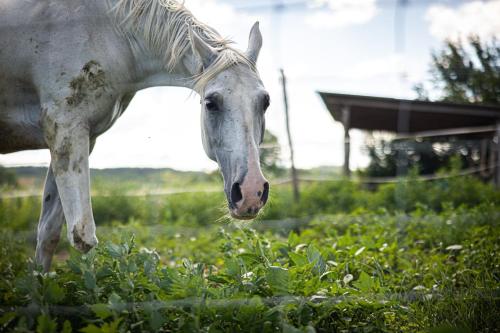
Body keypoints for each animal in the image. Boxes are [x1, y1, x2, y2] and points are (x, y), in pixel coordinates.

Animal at [0, 0, 272, 270]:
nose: (252, 193)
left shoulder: (80, 139)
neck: (106, 29)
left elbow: (48, 233)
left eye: (265, 102)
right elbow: (83, 235)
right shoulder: (65, 128)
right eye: (210, 103)